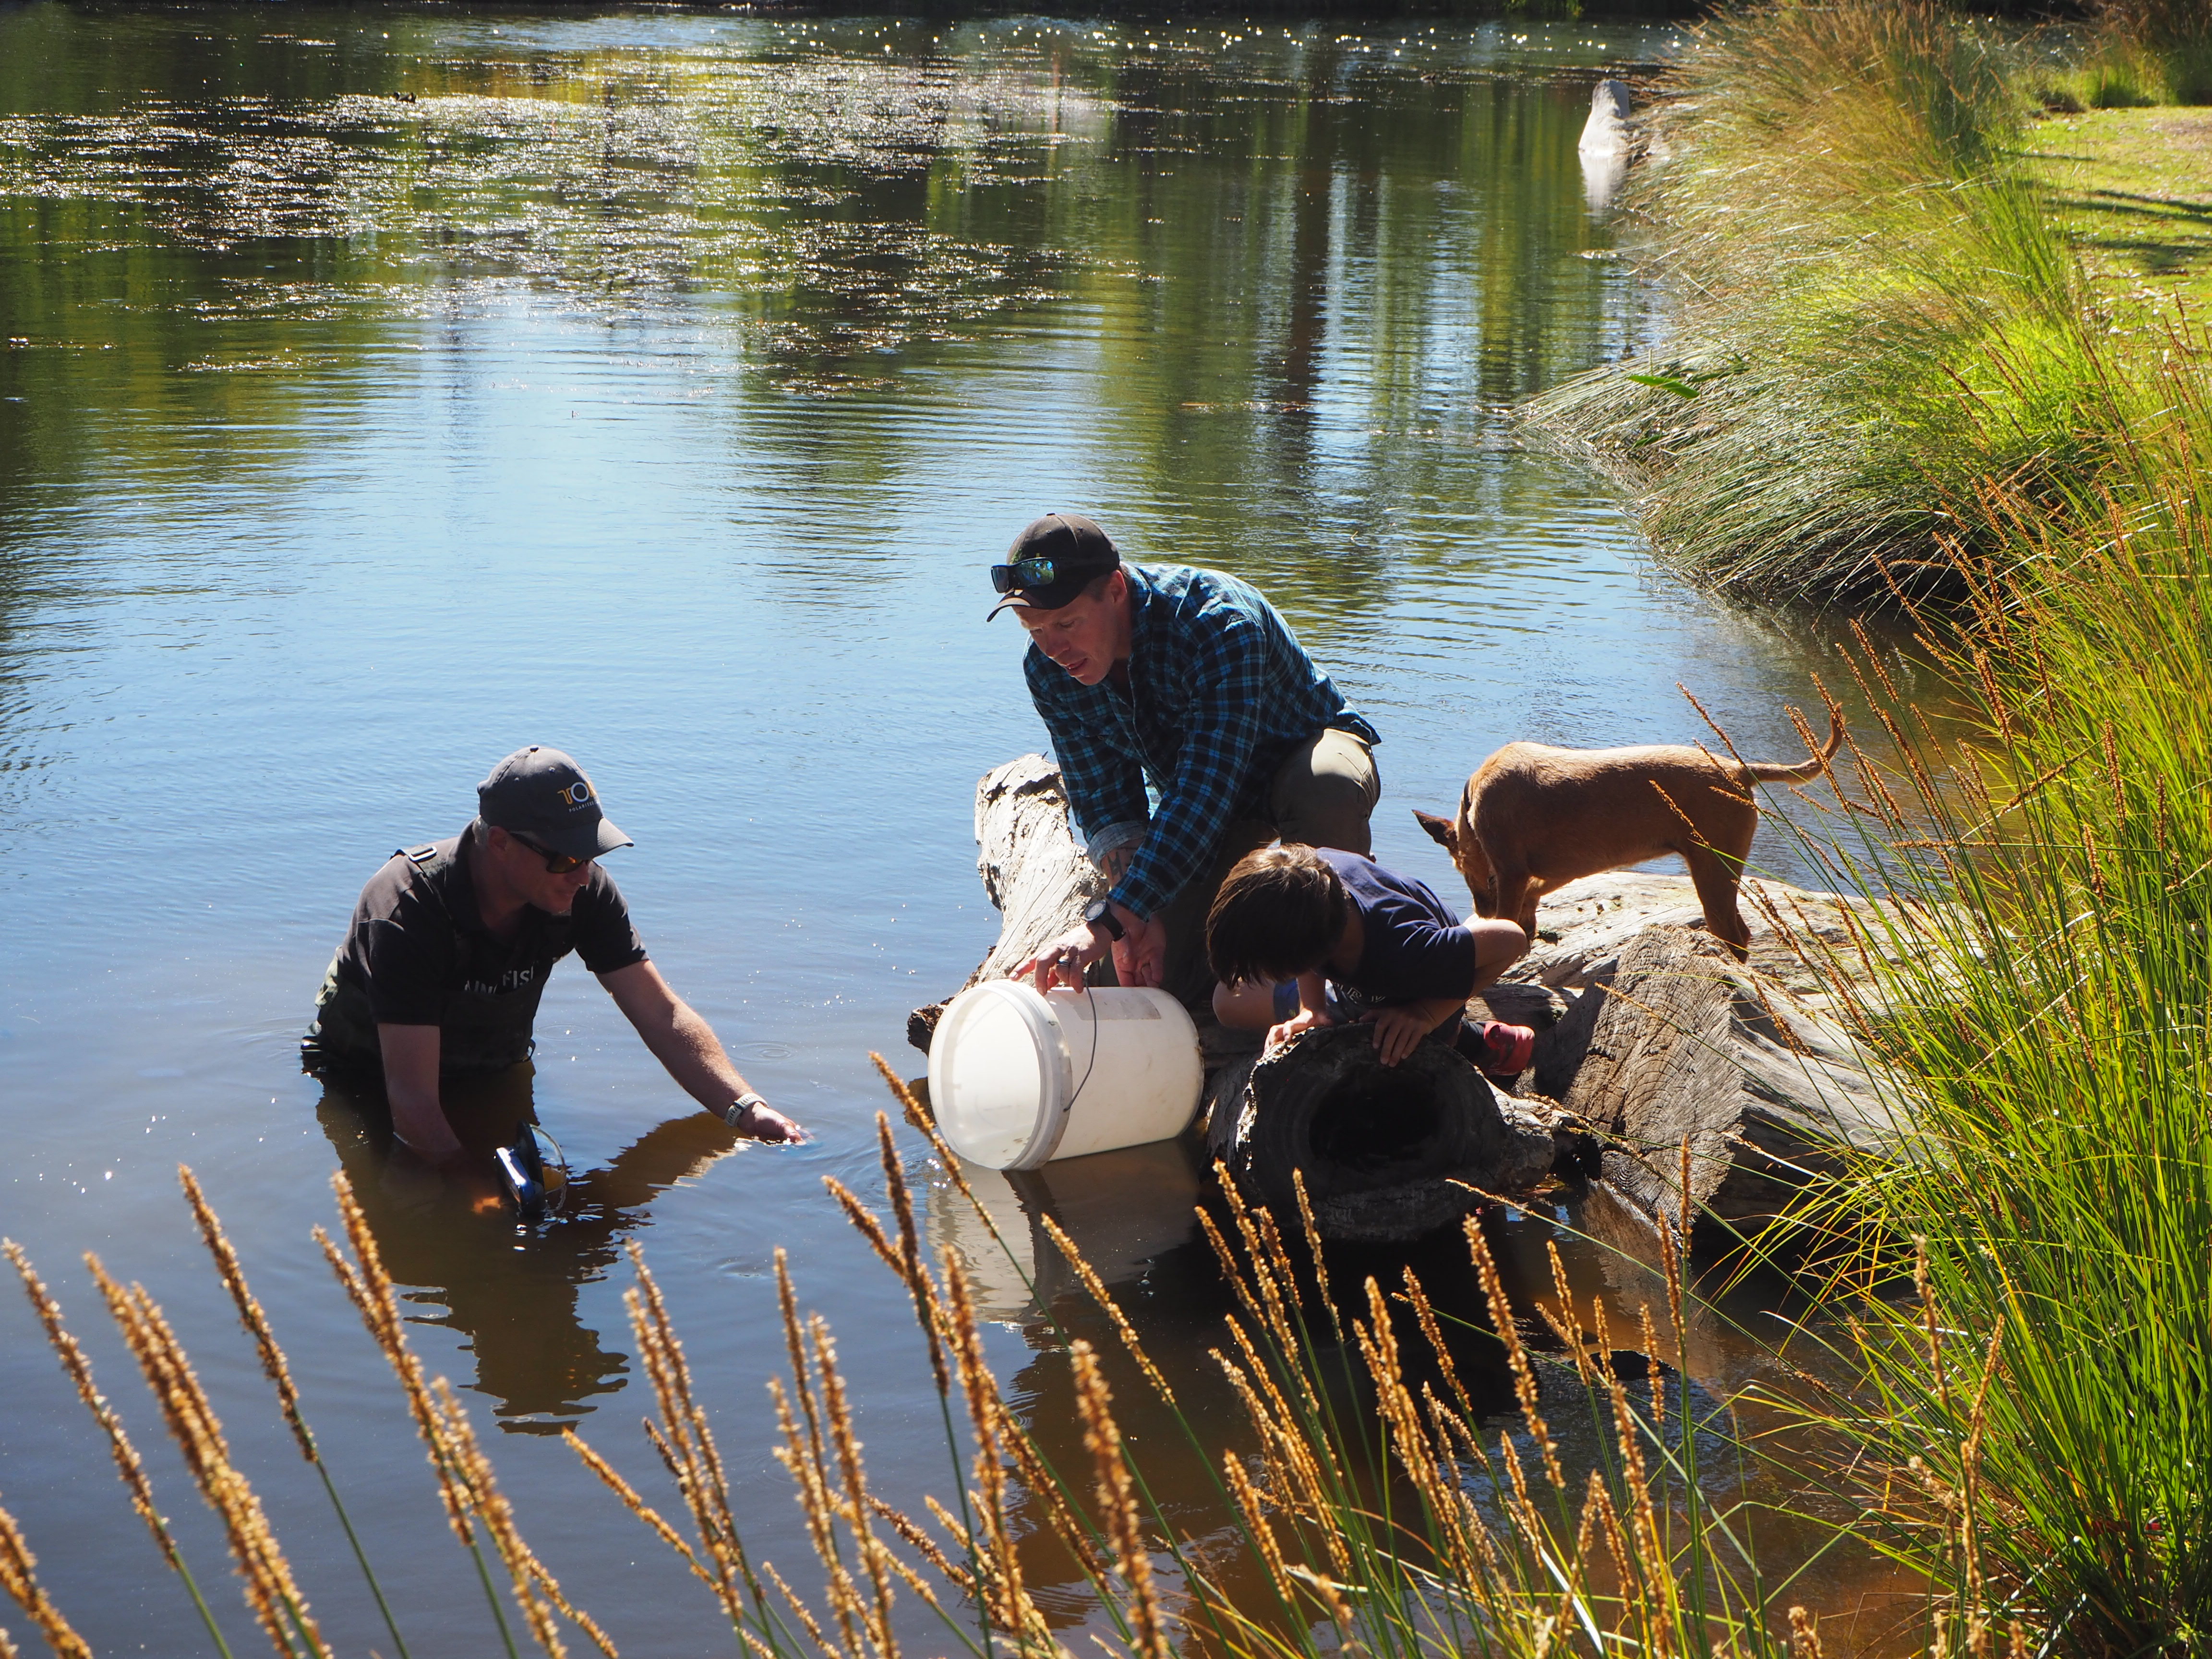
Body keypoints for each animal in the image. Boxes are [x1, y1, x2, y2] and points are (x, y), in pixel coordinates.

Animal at [1424, 712, 1840, 960]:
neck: (1472, 800)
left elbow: (1511, 912)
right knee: (1743, 933)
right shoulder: (1560, 869)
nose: (1480, 914)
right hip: (1718, 873)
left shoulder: (1511, 872)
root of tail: (1740, 770)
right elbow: (1532, 899)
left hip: (1713, 875)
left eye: (1464, 872)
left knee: (1734, 935)